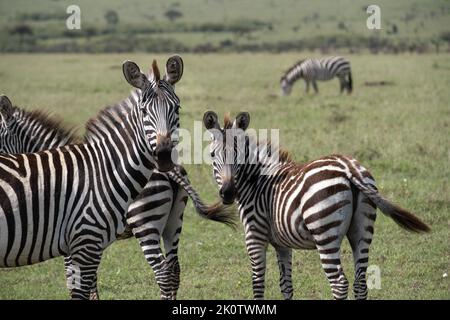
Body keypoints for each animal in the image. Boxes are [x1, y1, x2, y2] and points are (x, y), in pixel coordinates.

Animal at [0, 57, 234, 300]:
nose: (163, 155)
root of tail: (171, 172)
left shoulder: (74, 239)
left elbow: (77, 282)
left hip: (145, 221)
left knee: (162, 271)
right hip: (174, 220)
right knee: (174, 269)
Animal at [202, 110, 430, 300]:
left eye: (239, 155)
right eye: (213, 155)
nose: (228, 193)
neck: (257, 183)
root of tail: (348, 169)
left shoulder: (254, 236)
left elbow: (258, 284)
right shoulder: (282, 243)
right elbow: (286, 285)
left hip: (324, 232)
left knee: (339, 283)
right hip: (362, 230)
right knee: (360, 283)